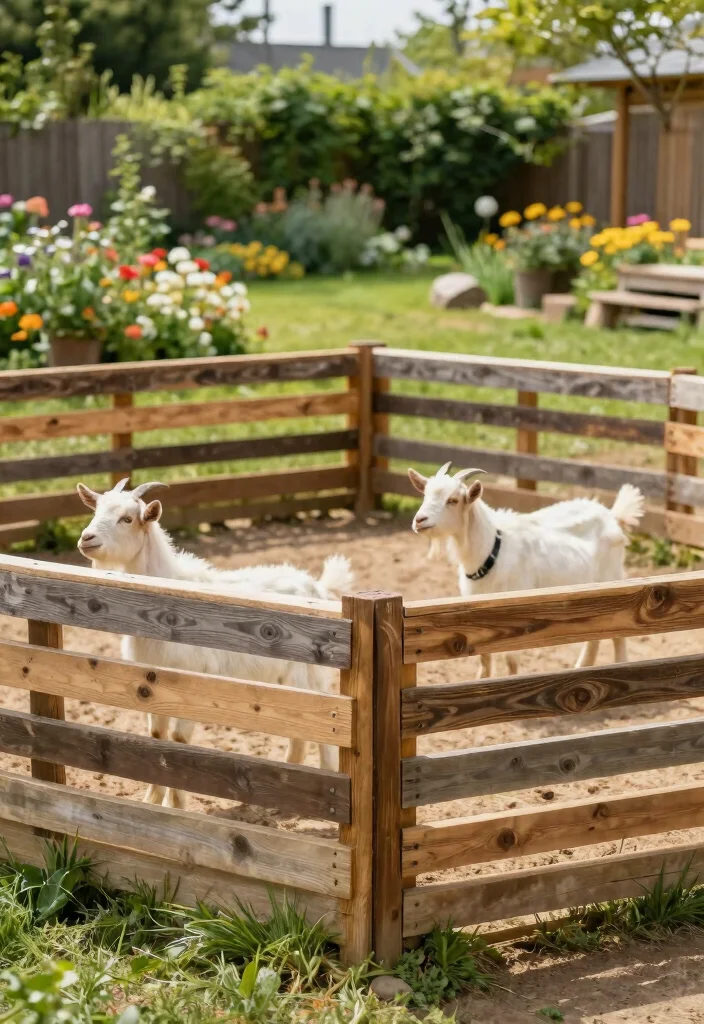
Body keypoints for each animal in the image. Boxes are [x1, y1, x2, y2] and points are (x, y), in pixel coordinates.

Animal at [76, 478, 354, 808]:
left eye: (127, 518)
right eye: (96, 510)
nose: (86, 539)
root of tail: (317, 587)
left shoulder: (191, 686)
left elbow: (179, 741)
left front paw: (176, 807)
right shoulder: (149, 685)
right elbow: (156, 735)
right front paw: (152, 801)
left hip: (310, 679)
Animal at [408, 461, 645, 677]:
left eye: (453, 500)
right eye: (425, 495)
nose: (419, 520)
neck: (491, 550)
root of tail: (612, 515)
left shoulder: (516, 611)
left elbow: (511, 660)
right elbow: (484, 659)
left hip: (613, 579)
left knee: (618, 634)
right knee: (594, 637)